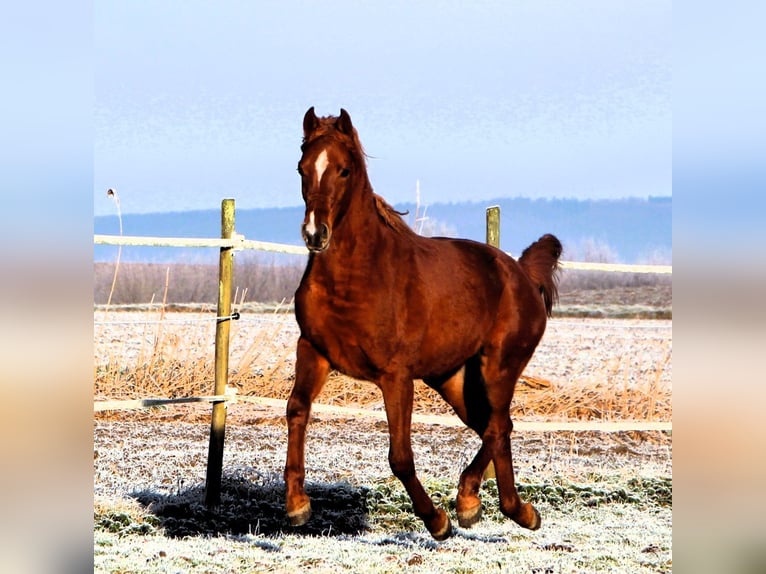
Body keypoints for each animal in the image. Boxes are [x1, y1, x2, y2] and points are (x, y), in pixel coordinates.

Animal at [284, 109, 560, 544]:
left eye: (344, 170)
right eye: (302, 168)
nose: (315, 233)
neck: (357, 276)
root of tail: (520, 271)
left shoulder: (395, 375)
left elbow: (400, 455)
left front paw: (436, 521)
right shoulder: (313, 350)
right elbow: (296, 410)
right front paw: (297, 505)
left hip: (498, 367)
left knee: (497, 425)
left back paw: (488, 505)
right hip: (452, 378)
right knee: (496, 428)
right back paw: (496, 506)